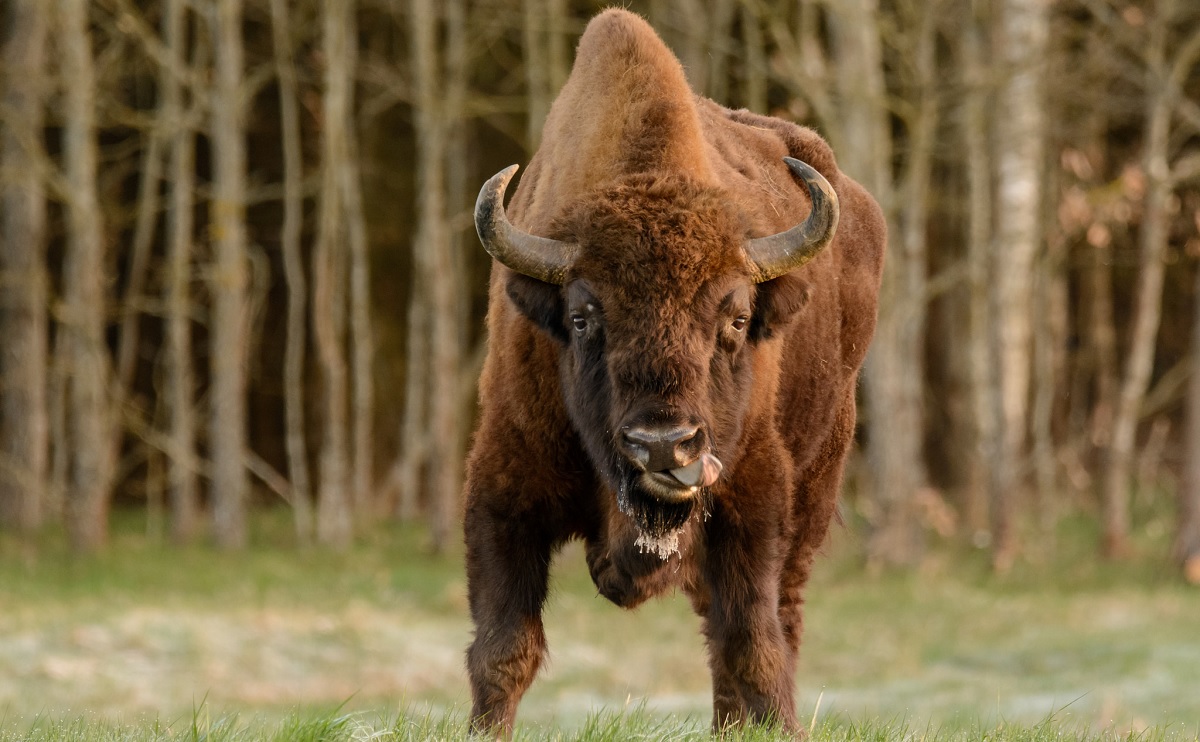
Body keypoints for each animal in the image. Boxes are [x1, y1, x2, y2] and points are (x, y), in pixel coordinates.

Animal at [463, 7, 888, 734]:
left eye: (737, 319)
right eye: (583, 316)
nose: (664, 446)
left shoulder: (754, 498)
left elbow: (752, 643)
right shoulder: (503, 485)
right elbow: (502, 647)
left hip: (816, 482)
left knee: (775, 618)